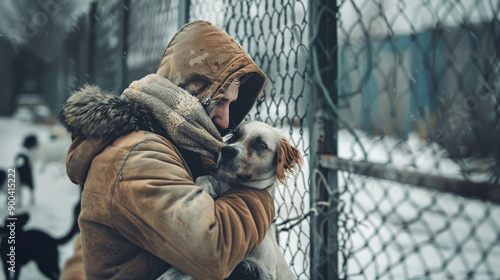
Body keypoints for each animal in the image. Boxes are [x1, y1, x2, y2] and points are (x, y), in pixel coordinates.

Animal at [159, 121, 300, 280]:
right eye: (234, 136)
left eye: (261, 144)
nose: (227, 150)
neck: (230, 185)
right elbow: (205, 178)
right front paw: (206, 185)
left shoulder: (259, 265)